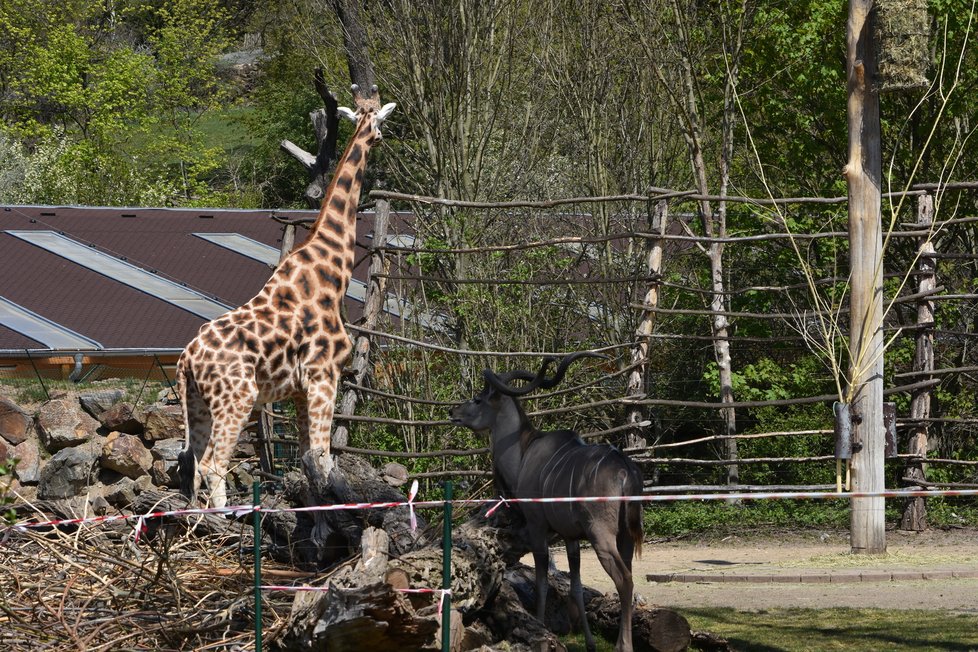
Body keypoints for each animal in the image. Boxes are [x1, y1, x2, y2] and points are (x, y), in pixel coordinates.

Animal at [175, 98, 392, 510]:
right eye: (377, 125)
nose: (379, 138)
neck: (332, 272)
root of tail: (187, 359)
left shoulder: (299, 389)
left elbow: (309, 456)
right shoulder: (324, 375)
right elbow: (324, 455)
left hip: (196, 401)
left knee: (190, 461)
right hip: (236, 398)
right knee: (212, 463)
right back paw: (227, 516)